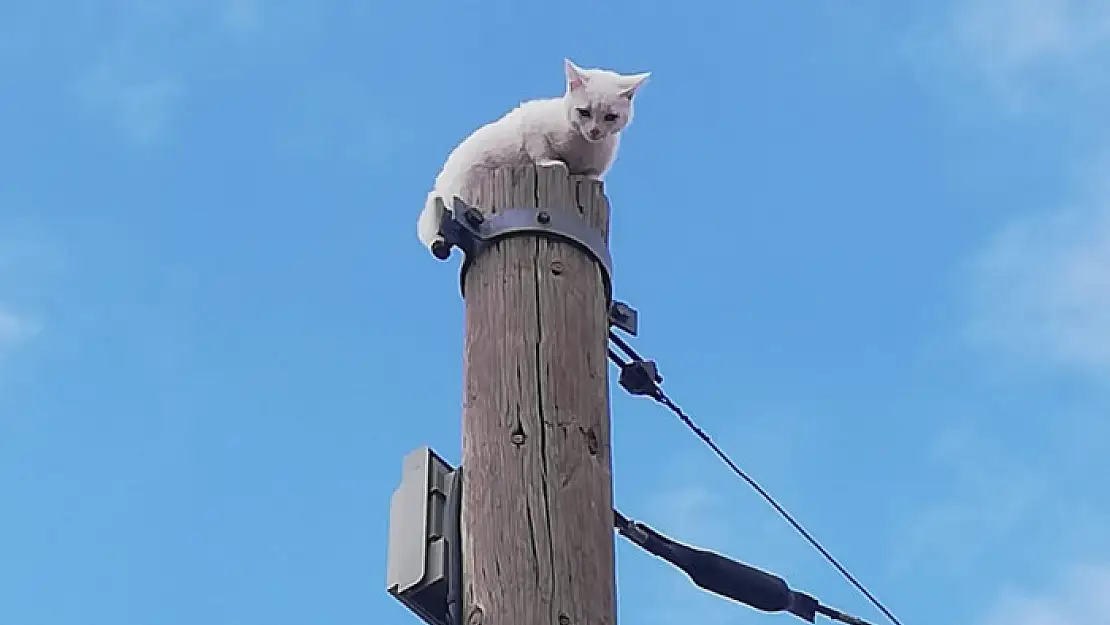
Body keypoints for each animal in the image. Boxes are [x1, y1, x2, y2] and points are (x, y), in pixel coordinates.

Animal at [417, 58, 648, 253]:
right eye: (584, 112)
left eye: (610, 117)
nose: (595, 131)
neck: (582, 146)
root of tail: (440, 187)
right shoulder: (532, 126)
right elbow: (541, 150)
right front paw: (552, 163)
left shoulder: (595, 168)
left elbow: (590, 176)